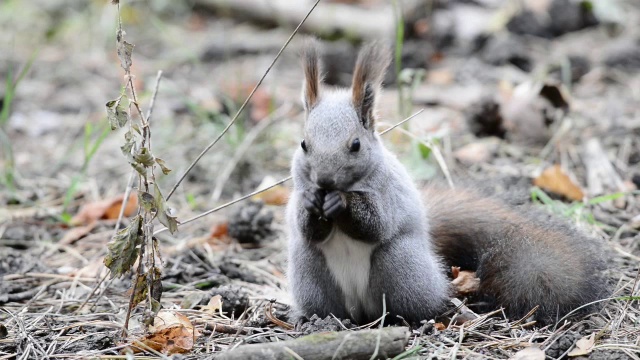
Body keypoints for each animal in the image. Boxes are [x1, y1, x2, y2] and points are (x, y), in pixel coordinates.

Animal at [284, 40, 604, 326]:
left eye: (356, 145)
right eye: (303, 144)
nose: (324, 181)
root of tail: (362, 312)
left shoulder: (388, 192)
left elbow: (377, 223)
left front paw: (342, 202)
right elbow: (306, 227)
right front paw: (310, 201)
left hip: (400, 264)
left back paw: (409, 318)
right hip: (309, 268)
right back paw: (314, 319)